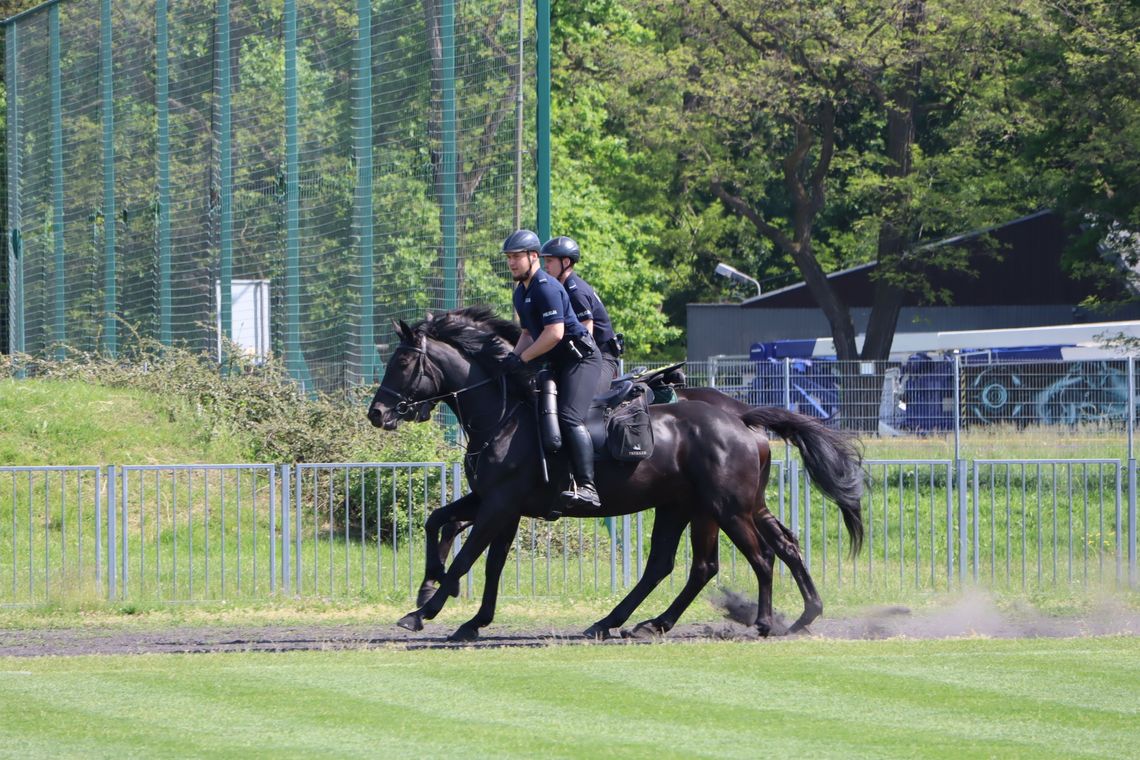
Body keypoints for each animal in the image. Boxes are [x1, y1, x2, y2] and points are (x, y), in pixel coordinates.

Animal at [367, 305, 861, 638]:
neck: (506, 413)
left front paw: (425, 610)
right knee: (698, 563)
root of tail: (739, 418)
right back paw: (635, 622)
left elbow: (469, 556)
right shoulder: (496, 504)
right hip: (696, 507)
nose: (377, 413)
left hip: (727, 509)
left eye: (403, 362)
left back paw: (761, 622)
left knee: (758, 557)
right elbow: (451, 533)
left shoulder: (500, 505)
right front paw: (452, 603)